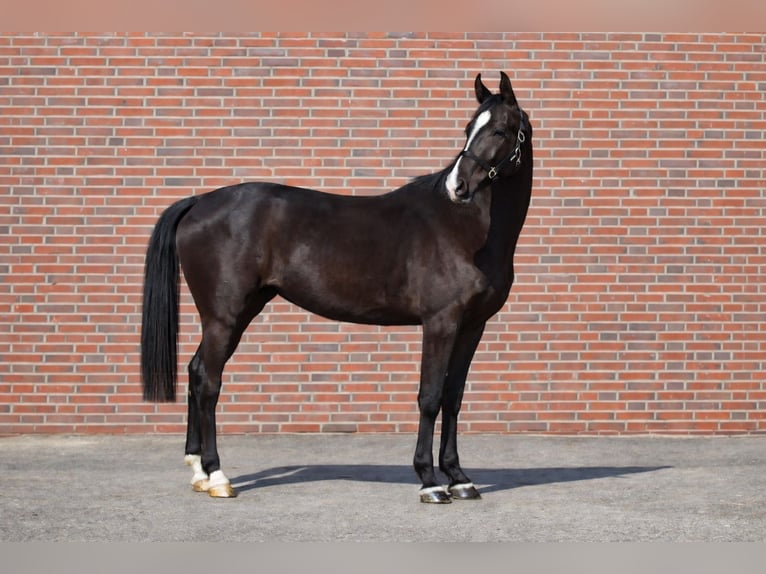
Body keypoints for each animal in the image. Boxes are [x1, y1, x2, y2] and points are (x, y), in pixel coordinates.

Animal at [141, 71, 533, 503]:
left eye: (499, 130)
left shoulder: (472, 326)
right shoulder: (440, 323)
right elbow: (429, 397)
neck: (465, 230)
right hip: (223, 317)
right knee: (209, 382)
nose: (457, 185)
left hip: (238, 312)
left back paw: (198, 470)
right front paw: (429, 481)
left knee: (196, 373)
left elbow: (453, 397)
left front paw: (459, 478)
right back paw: (217, 476)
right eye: (468, 128)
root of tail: (198, 202)